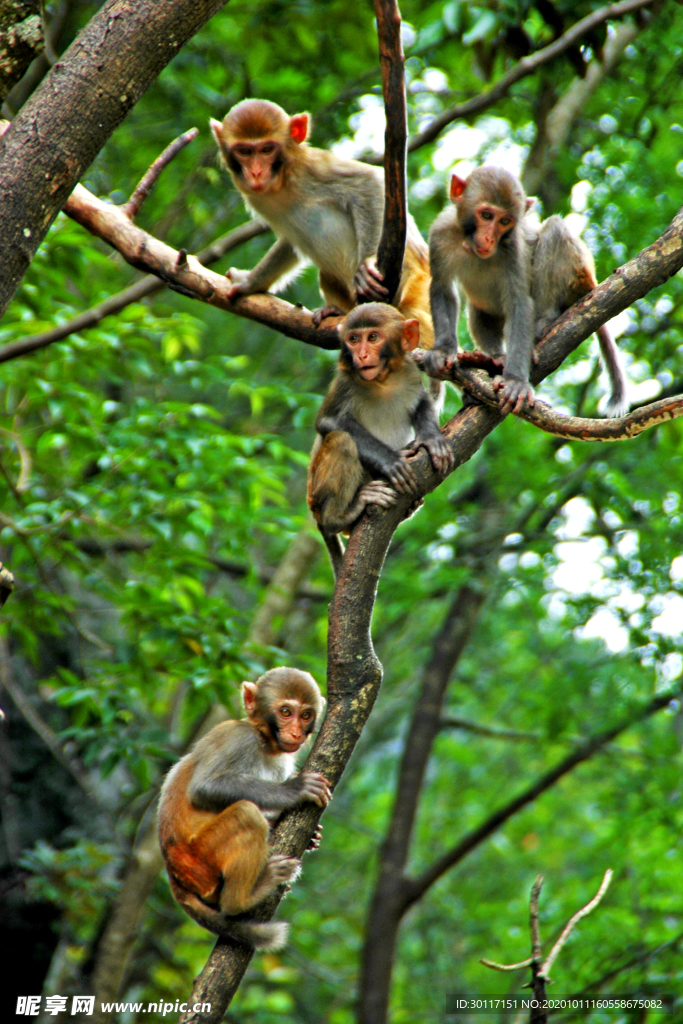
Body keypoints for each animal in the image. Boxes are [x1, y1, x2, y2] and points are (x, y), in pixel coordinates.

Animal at [160, 667, 331, 946]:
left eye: (306, 715)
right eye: (286, 712)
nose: (296, 733)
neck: (264, 740)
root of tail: (176, 879)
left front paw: (310, 835)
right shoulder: (237, 737)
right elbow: (204, 786)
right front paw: (294, 790)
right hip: (201, 861)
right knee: (247, 814)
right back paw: (241, 900)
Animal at [208, 99, 432, 348]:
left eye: (267, 149)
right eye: (244, 151)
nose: (256, 173)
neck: (283, 181)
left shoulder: (314, 168)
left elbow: (370, 182)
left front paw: (368, 262)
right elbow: (288, 243)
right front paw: (250, 283)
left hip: (418, 282)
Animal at [307, 301, 450, 577]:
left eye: (372, 338)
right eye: (353, 339)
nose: (361, 355)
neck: (383, 382)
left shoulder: (409, 371)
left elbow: (422, 402)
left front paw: (431, 438)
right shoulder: (345, 383)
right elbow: (329, 422)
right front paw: (391, 460)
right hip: (317, 498)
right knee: (341, 441)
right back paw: (339, 516)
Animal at [430, 163, 626, 415]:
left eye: (505, 222)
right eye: (486, 215)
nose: (489, 238)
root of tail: (591, 281)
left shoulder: (513, 247)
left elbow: (519, 302)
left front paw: (516, 381)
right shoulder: (440, 233)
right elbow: (442, 288)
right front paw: (443, 351)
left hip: (578, 275)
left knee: (554, 229)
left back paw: (542, 323)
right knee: (477, 309)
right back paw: (497, 357)